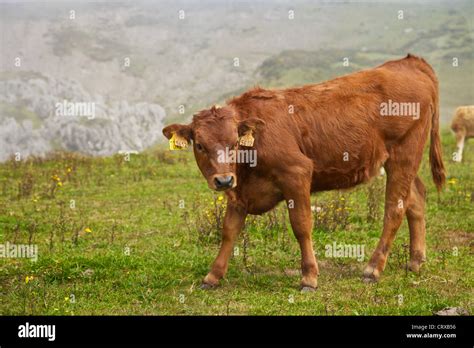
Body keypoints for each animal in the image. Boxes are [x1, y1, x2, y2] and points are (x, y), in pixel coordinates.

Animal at [162, 53, 444, 290]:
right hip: (401, 160)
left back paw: (373, 269)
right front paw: (213, 275)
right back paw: (415, 261)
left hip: (404, 153)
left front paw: (309, 277)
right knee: (415, 198)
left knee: (395, 209)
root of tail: (408, 62)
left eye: (234, 142)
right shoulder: (239, 192)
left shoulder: (296, 174)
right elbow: (229, 230)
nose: (222, 180)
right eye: (200, 145)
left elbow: (301, 225)